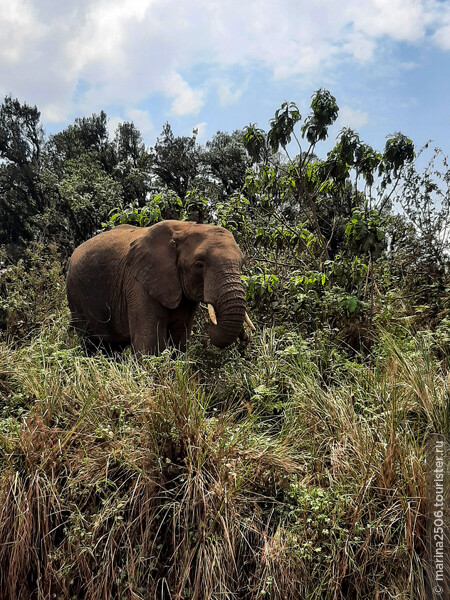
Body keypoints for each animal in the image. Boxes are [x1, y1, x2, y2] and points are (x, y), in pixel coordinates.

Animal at [65, 219, 255, 354]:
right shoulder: (139, 284)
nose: (244, 339)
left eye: (241, 263)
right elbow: (149, 346)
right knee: (90, 345)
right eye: (199, 264)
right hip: (76, 295)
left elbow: (179, 343)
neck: (185, 228)